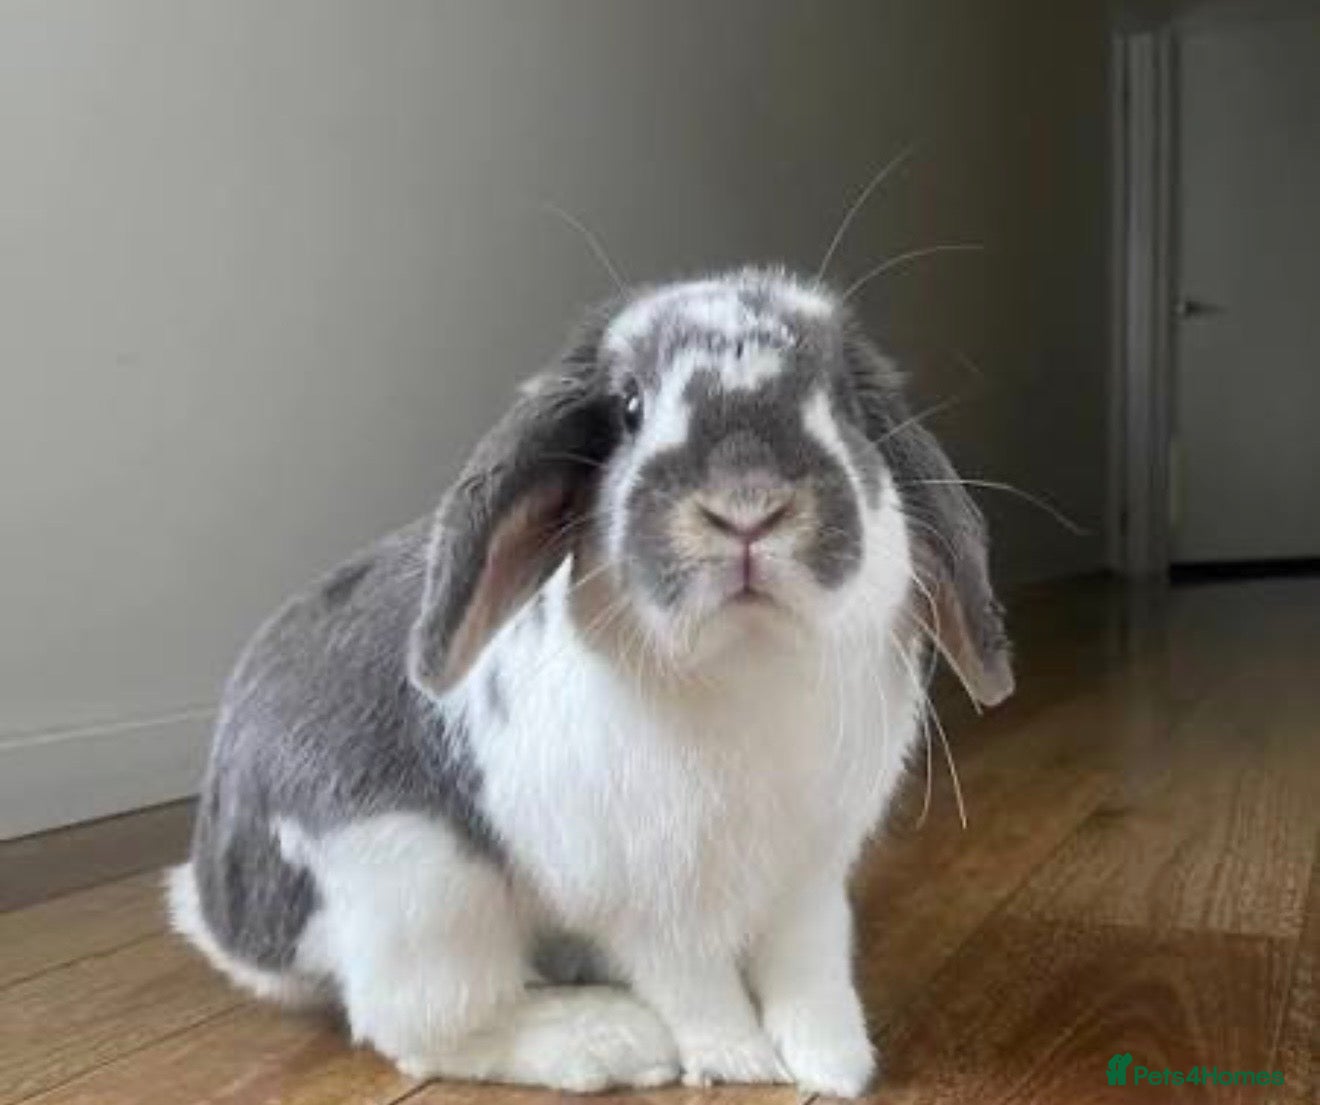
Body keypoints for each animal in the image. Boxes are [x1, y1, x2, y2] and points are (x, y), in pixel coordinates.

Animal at [168, 266, 1012, 1096]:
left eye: (842, 403)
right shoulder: (651, 901)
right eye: (629, 406)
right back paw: (610, 1039)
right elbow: (696, 988)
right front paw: (740, 1062)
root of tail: (219, 903)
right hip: (422, 894)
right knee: (424, 1026)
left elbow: (810, 971)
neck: (745, 661)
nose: (746, 504)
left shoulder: (808, 878)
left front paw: (836, 1063)